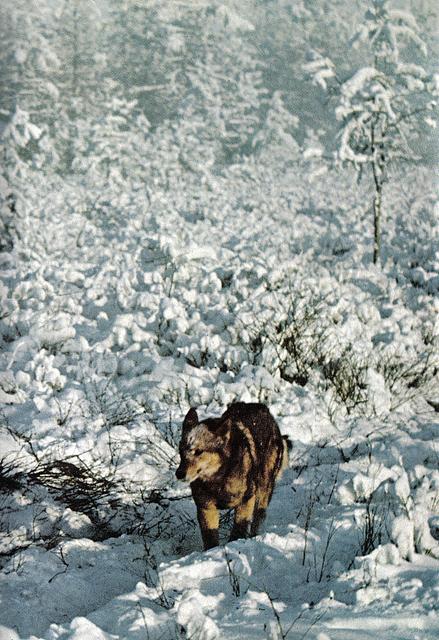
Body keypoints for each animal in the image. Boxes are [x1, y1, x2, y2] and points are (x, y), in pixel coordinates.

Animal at [177, 404, 290, 552]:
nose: (179, 473)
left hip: (264, 490)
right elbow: (210, 538)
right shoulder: (206, 508)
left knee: (259, 517)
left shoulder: (246, 500)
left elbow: (239, 529)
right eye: (180, 451)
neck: (218, 478)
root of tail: (262, 408)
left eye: (199, 451)